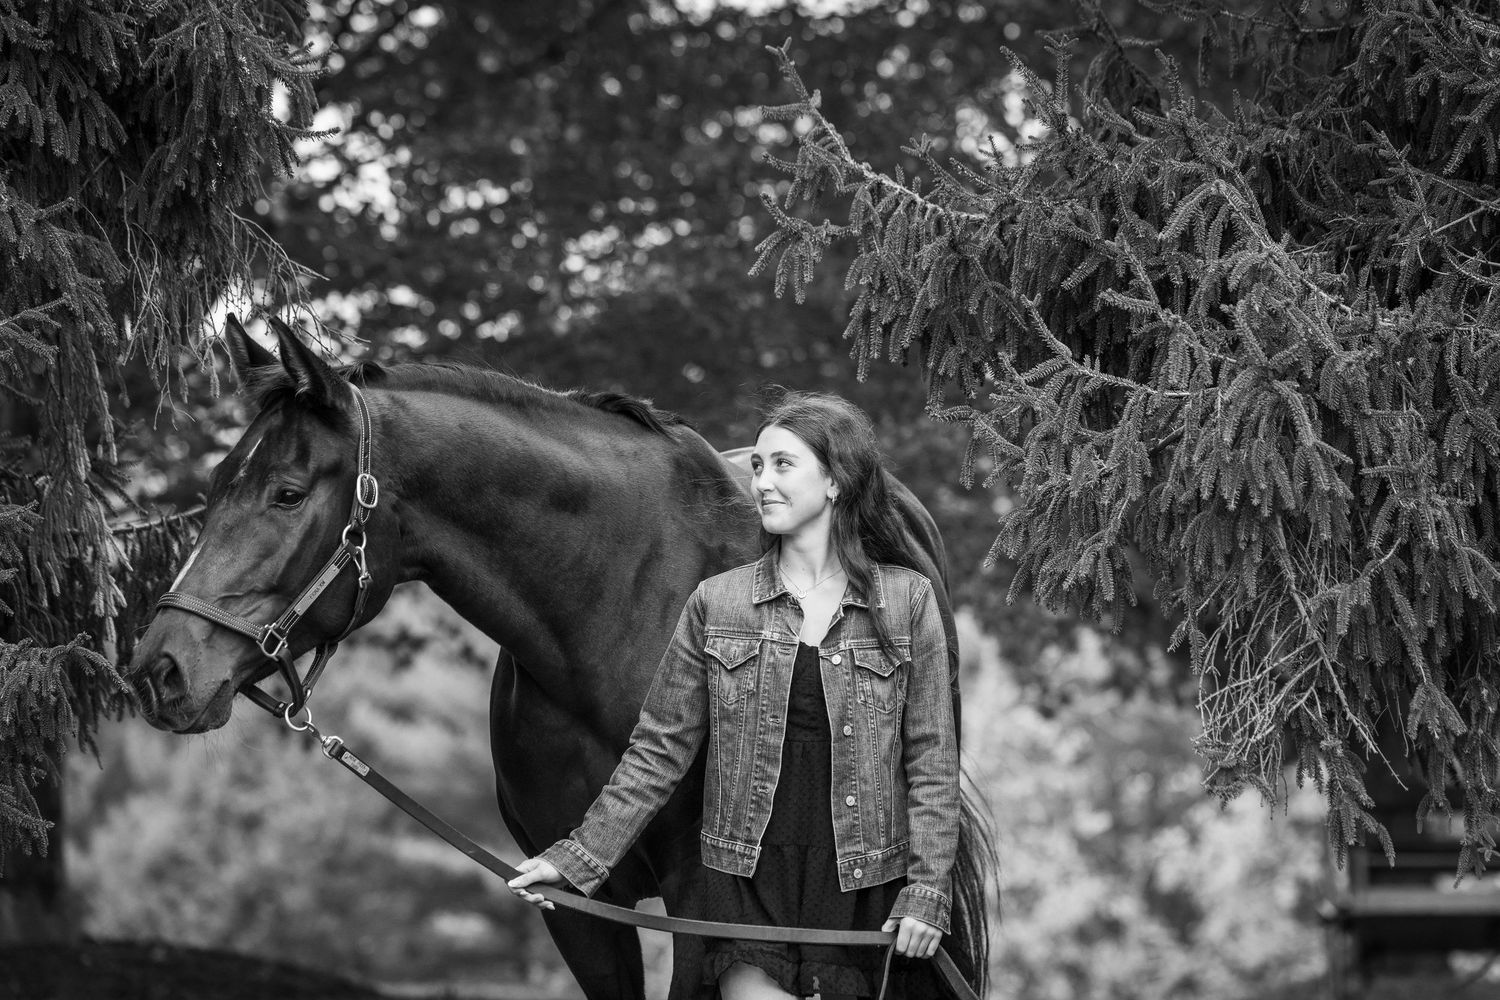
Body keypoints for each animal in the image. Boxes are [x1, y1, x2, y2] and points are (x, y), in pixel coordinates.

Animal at [127, 317, 989, 999]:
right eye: (218, 483)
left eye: (288, 492)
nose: (160, 670)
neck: (610, 614)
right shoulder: (576, 910)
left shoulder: (703, 904)